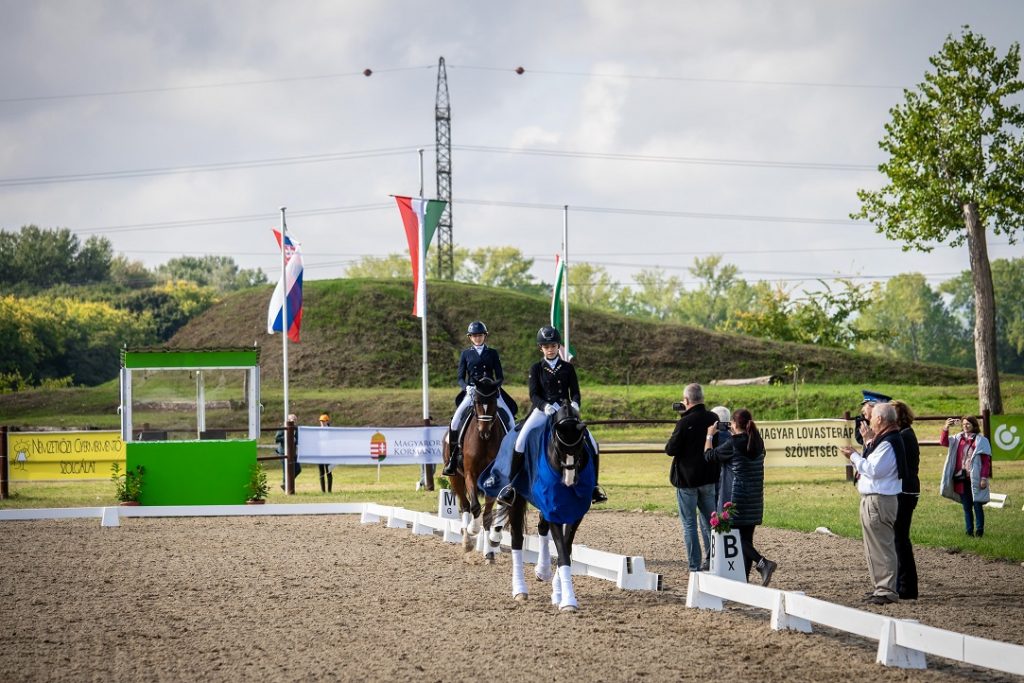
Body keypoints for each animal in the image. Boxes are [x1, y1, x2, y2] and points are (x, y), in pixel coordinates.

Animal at [442, 378, 505, 561]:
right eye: (476, 402)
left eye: (493, 402)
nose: (484, 432)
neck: (484, 442)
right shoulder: (470, 474)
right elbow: (475, 507)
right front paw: (472, 529)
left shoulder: (493, 479)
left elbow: (488, 516)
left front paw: (489, 550)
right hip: (455, 478)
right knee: (464, 505)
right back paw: (467, 541)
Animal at [507, 403, 598, 610]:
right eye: (558, 446)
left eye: (581, 446)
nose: (569, 480)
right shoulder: (553, 509)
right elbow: (563, 552)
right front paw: (568, 600)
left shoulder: (575, 512)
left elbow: (566, 547)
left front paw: (558, 593)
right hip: (516, 500)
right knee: (517, 539)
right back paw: (519, 590)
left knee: (541, 527)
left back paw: (543, 570)